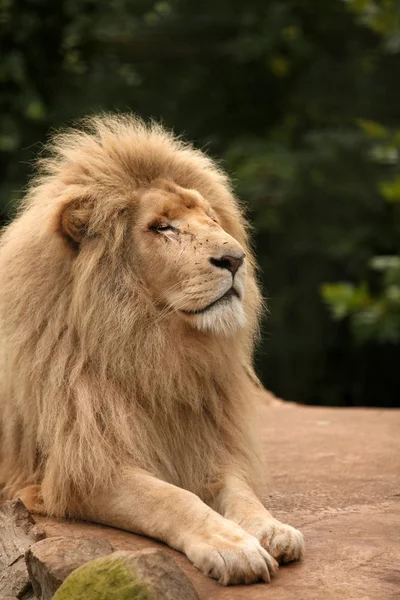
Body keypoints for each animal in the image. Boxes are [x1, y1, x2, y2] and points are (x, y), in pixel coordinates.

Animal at [0, 115, 304, 584]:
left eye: (212, 219)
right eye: (162, 227)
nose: (236, 260)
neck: (153, 353)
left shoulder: (208, 445)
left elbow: (242, 493)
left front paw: (271, 529)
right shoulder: (81, 470)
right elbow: (171, 498)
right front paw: (234, 547)